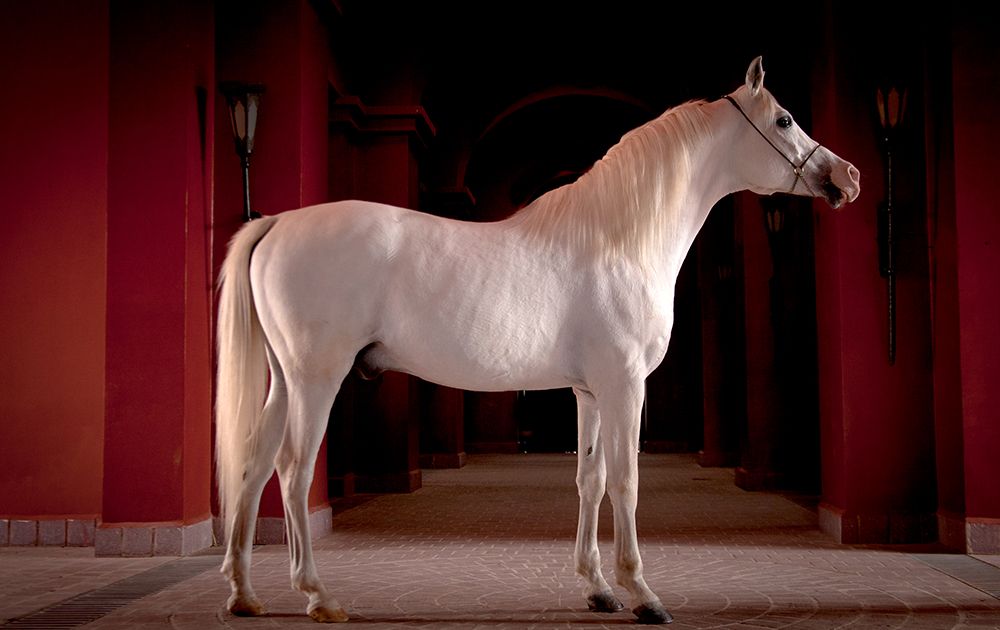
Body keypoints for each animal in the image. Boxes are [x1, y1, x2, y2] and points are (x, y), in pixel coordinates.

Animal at [215, 57, 860, 624]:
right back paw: (317, 596)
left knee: (255, 464)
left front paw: (598, 588)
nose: (847, 177)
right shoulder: (625, 386)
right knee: (293, 472)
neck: (619, 239)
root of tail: (277, 223)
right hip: (315, 380)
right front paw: (642, 594)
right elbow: (625, 482)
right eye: (785, 119)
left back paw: (244, 595)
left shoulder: (590, 393)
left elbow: (589, 481)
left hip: (284, 381)